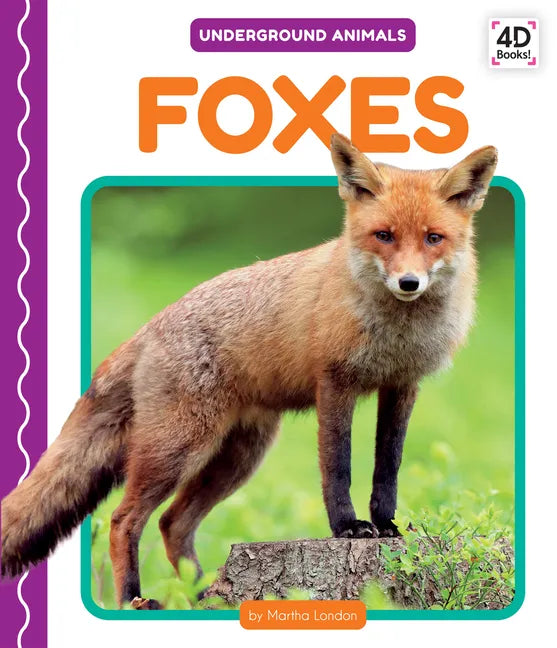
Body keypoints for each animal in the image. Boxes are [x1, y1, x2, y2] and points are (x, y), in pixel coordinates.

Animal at [1, 134, 497, 609]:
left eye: (433, 238)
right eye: (384, 235)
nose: (409, 283)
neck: (397, 331)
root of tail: (152, 324)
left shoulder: (402, 385)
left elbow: (388, 465)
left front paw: (386, 523)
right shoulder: (335, 382)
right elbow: (337, 466)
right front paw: (347, 528)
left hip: (238, 456)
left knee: (172, 523)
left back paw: (202, 595)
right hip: (179, 447)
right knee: (124, 519)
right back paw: (133, 599)